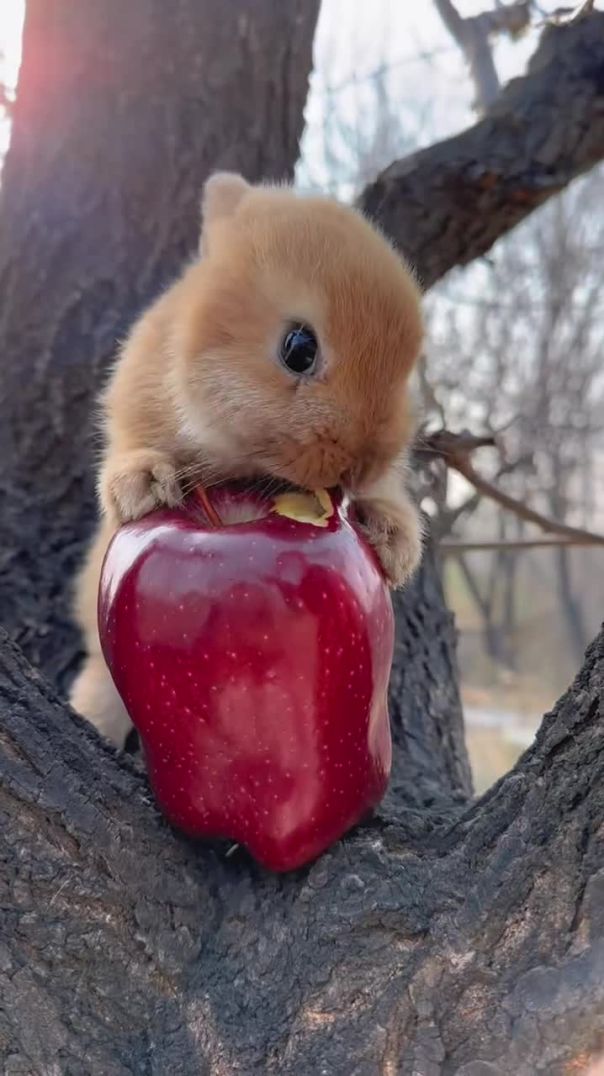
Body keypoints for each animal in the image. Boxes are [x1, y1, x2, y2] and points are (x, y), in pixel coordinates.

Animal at [70, 176, 422, 748]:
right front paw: (143, 484)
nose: (361, 464)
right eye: (298, 348)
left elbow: (388, 497)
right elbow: (130, 452)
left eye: (407, 370)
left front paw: (393, 540)